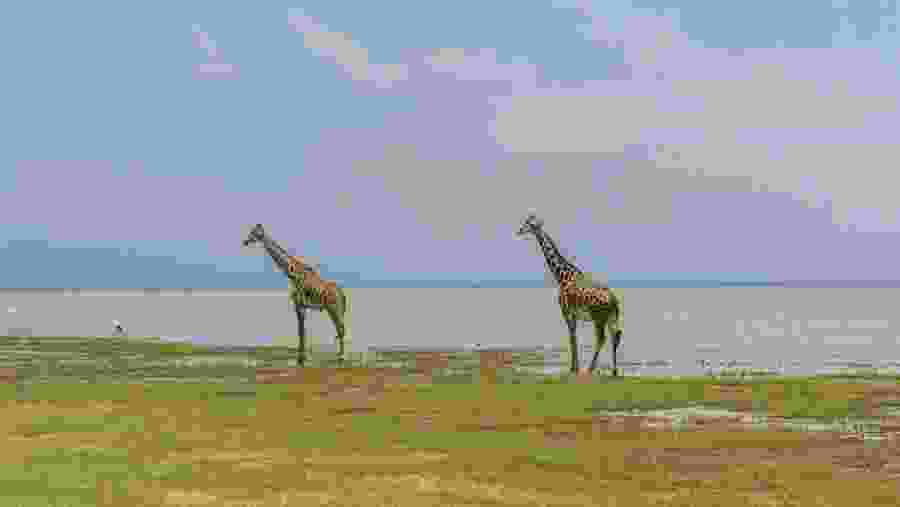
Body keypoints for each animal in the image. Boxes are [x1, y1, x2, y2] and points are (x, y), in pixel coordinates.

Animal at [242, 224, 350, 366]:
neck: (291, 273)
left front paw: (302, 359)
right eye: (251, 232)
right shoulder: (300, 306)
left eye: (255, 233)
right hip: (336, 309)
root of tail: (342, 294)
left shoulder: (299, 304)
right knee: (340, 329)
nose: (245, 241)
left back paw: (342, 357)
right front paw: (301, 359)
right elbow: (301, 331)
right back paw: (340, 357)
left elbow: (301, 331)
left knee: (341, 329)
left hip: (334, 308)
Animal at [516, 213, 624, 375]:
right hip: (611, 317)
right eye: (526, 223)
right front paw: (575, 368)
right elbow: (574, 337)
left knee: (601, 338)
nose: (519, 231)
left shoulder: (566, 311)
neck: (562, 276)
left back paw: (590, 369)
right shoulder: (573, 314)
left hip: (598, 318)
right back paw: (614, 371)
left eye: (530, 225)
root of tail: (614, 300)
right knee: (615, 336)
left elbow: (571, 337)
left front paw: (574, 368)